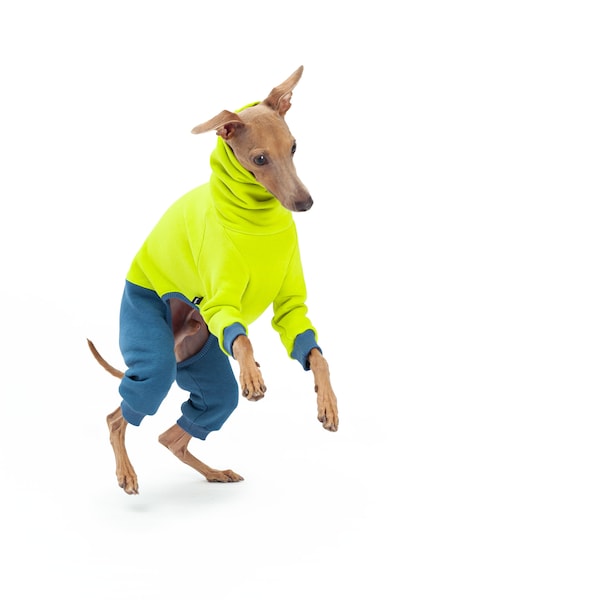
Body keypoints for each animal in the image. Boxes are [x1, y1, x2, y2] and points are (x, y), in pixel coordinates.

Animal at [88, 66, 339, 495]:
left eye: (293, 147)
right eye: (259, 158)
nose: (304, 203)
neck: (257, 219)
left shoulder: (291, 306)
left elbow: (316, 355)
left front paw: (328, 403)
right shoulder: (222, 302)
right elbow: (242, 338)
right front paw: (252, 375)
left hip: (203, 362)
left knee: (173, 435)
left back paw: (215, 472)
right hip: (153, 349)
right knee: (118, 416)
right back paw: (127, 474)